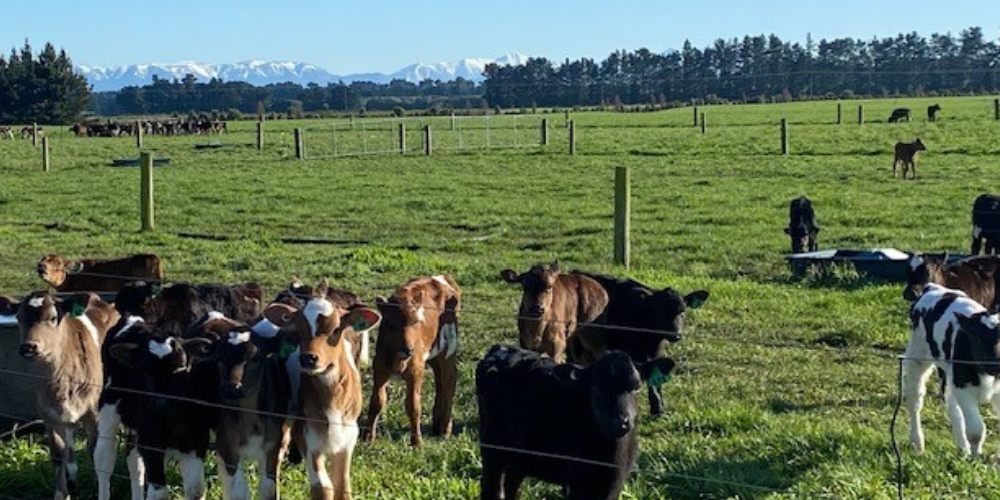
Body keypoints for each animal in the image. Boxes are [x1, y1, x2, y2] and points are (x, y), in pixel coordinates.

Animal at [2, 292, 119, 500]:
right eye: (19, 317)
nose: (28, 347)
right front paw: (61, 493)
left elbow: (94, 449)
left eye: (52, 317)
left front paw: (99, 488)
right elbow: (57, 454)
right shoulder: (47, 415)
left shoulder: (95, 413)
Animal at [264, 280, 381, 500]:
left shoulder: (348, 436)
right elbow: (323, 488)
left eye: (336, 330)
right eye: (297, 331)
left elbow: (342, 486)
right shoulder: (309, 436)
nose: (308, 358)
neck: (332, 398)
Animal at [366, 275, 461, 447]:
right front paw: (368, 437)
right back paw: (437, 424)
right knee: (439, 379)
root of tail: (442, 277)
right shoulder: (380, 368)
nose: (408, 350)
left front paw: (417, 442)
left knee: (449, 380)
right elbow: (377, 402)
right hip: (433, 355)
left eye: (416, 321)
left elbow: (413, 406)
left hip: (448, 349)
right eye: (391, 324)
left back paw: (445, 428)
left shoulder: (416, 371)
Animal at [477, 345, 676, 500]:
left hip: (520, 456)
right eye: (596, 389)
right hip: (492, 450)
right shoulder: (577, 483)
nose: (620, 422)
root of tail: (500, 350)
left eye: (637, 387)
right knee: (491, 488)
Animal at [903, 283, 1000, 456]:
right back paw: (917, 442)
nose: (996, 364)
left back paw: (963, 448)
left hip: (949, 374)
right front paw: (976, 457)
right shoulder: (963, 387)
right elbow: (976, 429)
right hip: (917, 355)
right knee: (915, 399)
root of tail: (931, 287)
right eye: (977, 337)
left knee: (953, 408)